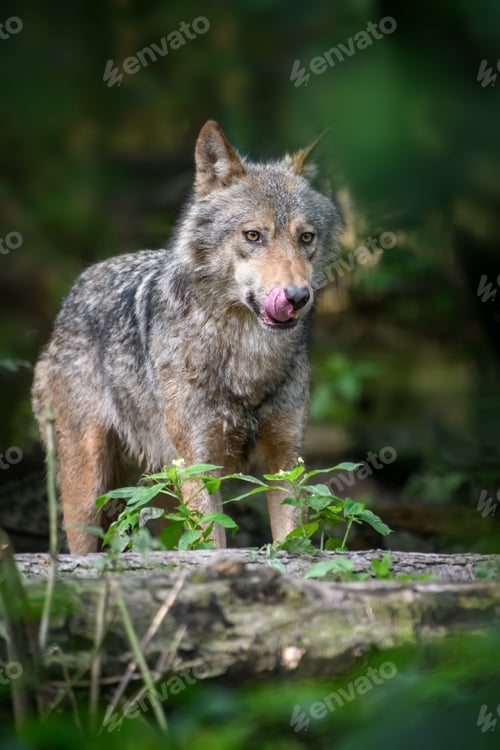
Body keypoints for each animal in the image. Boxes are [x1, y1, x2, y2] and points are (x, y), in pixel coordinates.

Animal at [32, 120, 342, 553]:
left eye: (306, 238)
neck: (247, 358)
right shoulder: (200, 462)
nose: (296, 297)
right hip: (89, 485)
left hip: (163, 485)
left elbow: (291, 540)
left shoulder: (285, 461)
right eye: (253, 236)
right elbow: (212, 546)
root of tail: (79, 284)